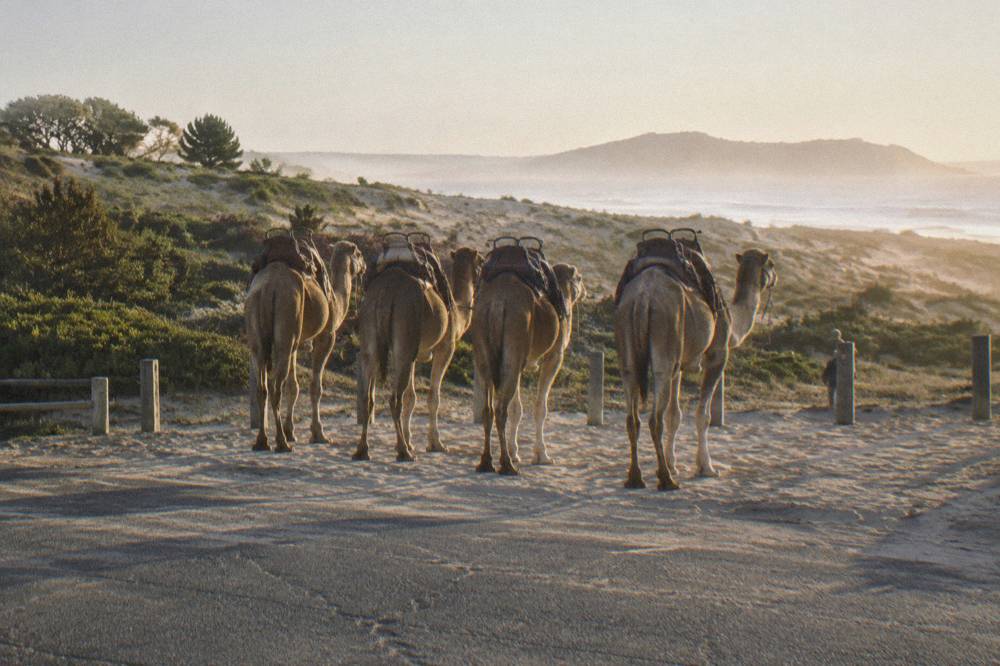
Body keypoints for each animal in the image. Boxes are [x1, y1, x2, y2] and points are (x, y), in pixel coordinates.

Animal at [246, 240, 365, 452]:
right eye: (358, 253)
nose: (365, 265)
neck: (335, 301)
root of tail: (269, 287)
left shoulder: (297, 341)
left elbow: (293, 386)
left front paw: (291, 431)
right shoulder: (326, 337)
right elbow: (315, 386)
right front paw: (319, 434)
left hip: (261, 332)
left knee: (263, 386)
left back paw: (262, 441)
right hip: (287, 318)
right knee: (275, 387)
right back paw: (281, 443)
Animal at [352, 243, 482, 462]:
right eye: (481, 262)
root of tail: (387, 292)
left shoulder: (414, 353)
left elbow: (410, 397)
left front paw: (411, 441)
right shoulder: (445, 348)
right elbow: (433, 397)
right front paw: (435, 444)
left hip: (372, 332)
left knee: (367, 394)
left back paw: (363, 450)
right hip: (405, 329)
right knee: (393, 399)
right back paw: (403, 452)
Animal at [472, 261, 585, 475]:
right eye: (580, 278)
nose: (585, 292)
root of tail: (498, 303)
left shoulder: (521, 363)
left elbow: (517, 408)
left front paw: (515, 452)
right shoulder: (554, 357)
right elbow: (541, 407)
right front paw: (542, 455)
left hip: (486, 350)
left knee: (488, 408)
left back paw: (486, 462)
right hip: (515, 342)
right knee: (500, 409)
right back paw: (507, 465)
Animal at [615, 246, 776, 490]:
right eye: (772, 265)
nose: (775, 278)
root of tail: (643, 296)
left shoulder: (680, 365)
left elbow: (674, 414)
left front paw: (673, 464)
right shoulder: (718, 355)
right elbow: (703, 415)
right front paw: (706, 468)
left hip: (629, 348)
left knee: (632, 416)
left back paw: (635, 477)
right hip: (666, 339)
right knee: (654, 419)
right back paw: (666, 480)